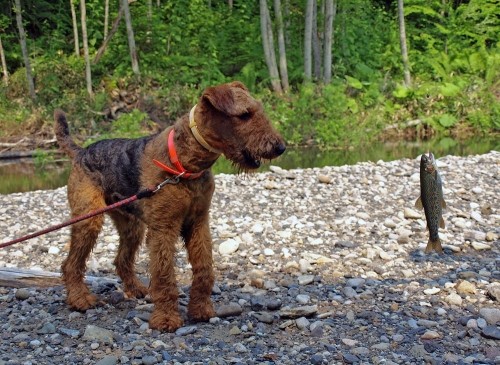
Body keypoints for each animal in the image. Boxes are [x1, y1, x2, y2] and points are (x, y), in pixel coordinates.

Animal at [54, 81, 286, 332]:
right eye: (244, 115)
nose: (280, 147)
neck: (186, 165)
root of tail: (81, 152)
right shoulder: (164, 228)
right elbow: (165, 275)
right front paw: (166, 319)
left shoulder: (198, 222)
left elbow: (204, 269)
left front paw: (201, 310)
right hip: (89, 219)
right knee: (71, 264)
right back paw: (80, 299)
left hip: (131, 226)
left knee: (121, 260)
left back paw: (136, 289)